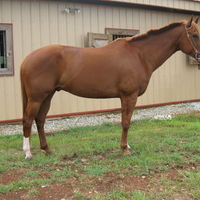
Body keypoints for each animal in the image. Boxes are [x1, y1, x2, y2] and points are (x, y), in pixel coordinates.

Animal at [20, 16, 200, 159]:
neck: (139, 55)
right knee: (28, 120)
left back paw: (47, 149)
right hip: (37, 98)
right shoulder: (129, 96)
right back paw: (28, 153)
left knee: (40, 120)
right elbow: (126, 122)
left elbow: (125, 121)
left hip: (48, 96)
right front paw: (125, 149)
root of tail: (28, 58)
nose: (199, 57)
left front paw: (126, 146)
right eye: (195, 35)